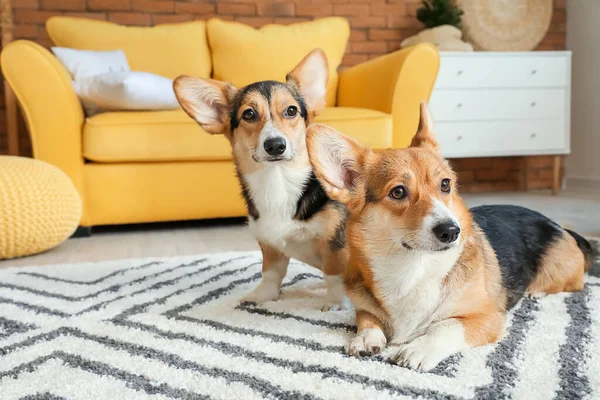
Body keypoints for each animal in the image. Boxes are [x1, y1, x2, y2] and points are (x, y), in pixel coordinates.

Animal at [172, 50, 346, 310]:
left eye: (291, 111)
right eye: (249, 114)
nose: (275, 145)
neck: (278, 182)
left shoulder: (336, 241)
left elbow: (334, 273)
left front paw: (334, 302)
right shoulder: (269, 244)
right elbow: (271, 272)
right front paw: (262, 296)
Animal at [308, 101, 592, 370]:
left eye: (445, 185)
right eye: (398, 192)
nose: (452, 231)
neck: (411, 268)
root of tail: (557, 225)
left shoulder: (487, 318)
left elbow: (446, 326)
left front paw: (418, 349)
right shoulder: (363, 306)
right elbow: (367, 318)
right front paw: (366, 338)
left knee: (574, 283)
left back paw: (537, 292)